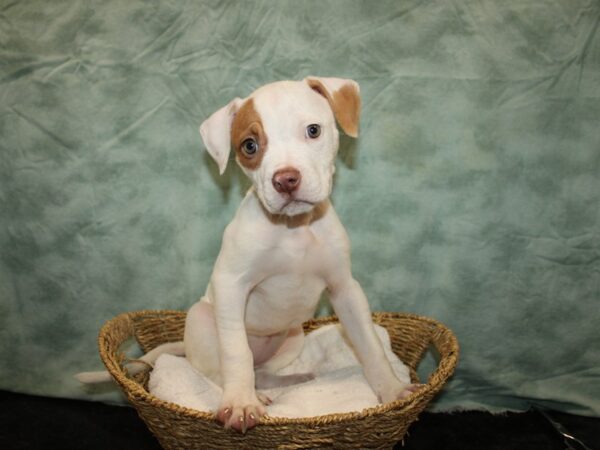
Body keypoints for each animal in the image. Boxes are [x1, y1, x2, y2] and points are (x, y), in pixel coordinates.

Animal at [77, 77, 420, 432]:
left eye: (313, 130)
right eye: (250, 146)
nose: (286, 180)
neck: (293, 228)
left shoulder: (345, 289)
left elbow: (369, 344)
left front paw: (392, 389)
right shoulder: (231, 285)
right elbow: (236, 354)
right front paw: (241, 404)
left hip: (293, 337)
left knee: (263, 372)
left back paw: (287, 382)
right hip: (202, 319)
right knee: (219, 373)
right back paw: (250, 394)